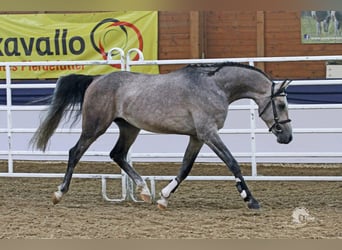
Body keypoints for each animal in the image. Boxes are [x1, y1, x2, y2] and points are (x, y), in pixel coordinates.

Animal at [32, 62, 292, 209]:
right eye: (280, 105)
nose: (287, 137)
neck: (215, 86)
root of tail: (96, 79)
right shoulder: (208, 132)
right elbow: (232, 163)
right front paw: (251, 200)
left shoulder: (197, 136)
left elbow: (185, 168)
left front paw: (163, 198)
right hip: (95, 126)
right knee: (75, 152)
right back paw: (59, 193)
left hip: (129, 127)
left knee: (118, 155)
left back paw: (144, 191)